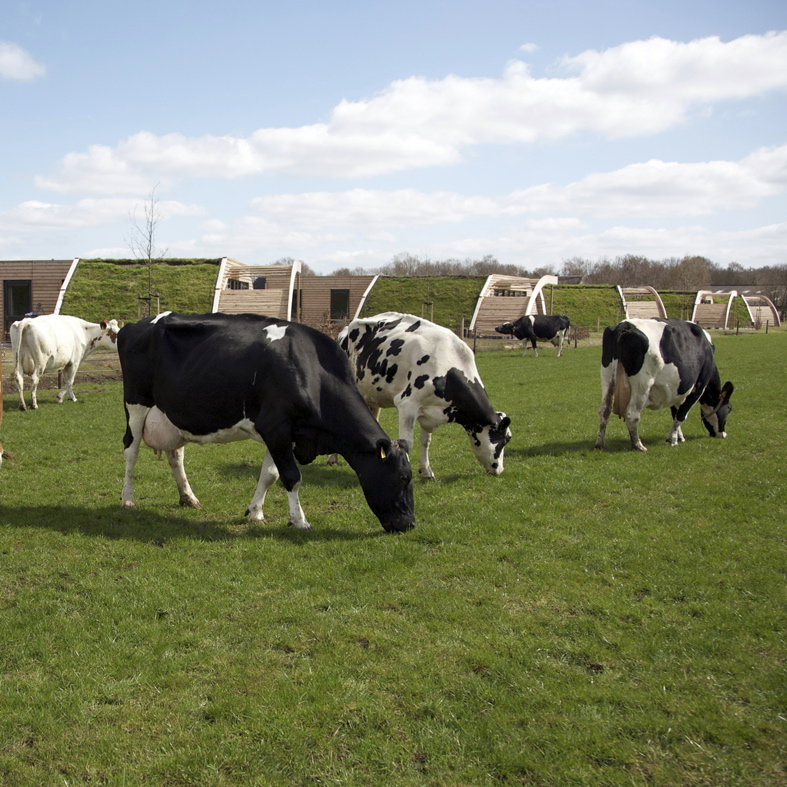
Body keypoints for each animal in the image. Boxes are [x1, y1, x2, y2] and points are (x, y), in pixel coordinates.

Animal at [118, 312, 415, 533]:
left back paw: (188, 498)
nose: (410, 524)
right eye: (404, 477)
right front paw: (299, 520)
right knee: (130, 450)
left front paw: (255, 513)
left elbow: (270, 475)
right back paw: (128, 499)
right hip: (136, 403)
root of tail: (135, 324)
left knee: (175, 455)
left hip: (173, 414)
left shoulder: (283, 433)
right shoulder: (276, 427)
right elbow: (292, 476)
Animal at [337, 312, 511, 480]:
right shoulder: (407, 404)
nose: (500, 470)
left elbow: (426, 441)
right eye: (505, 439)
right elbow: (407, 443)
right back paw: (333, 459)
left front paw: (427, 471)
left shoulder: (428, 412)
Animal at [594, 317, 734, 452]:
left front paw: (678, 436)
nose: (723, 434)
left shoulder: (677, 390)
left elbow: (675, 412)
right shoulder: (698, 387)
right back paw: (638, 446)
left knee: (604, 411)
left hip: (607, 378)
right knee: (632, 414)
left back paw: (600, 444)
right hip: (642, 384)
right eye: (729, 409)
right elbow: (681, 414)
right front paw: (673, 440)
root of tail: (625, 325)